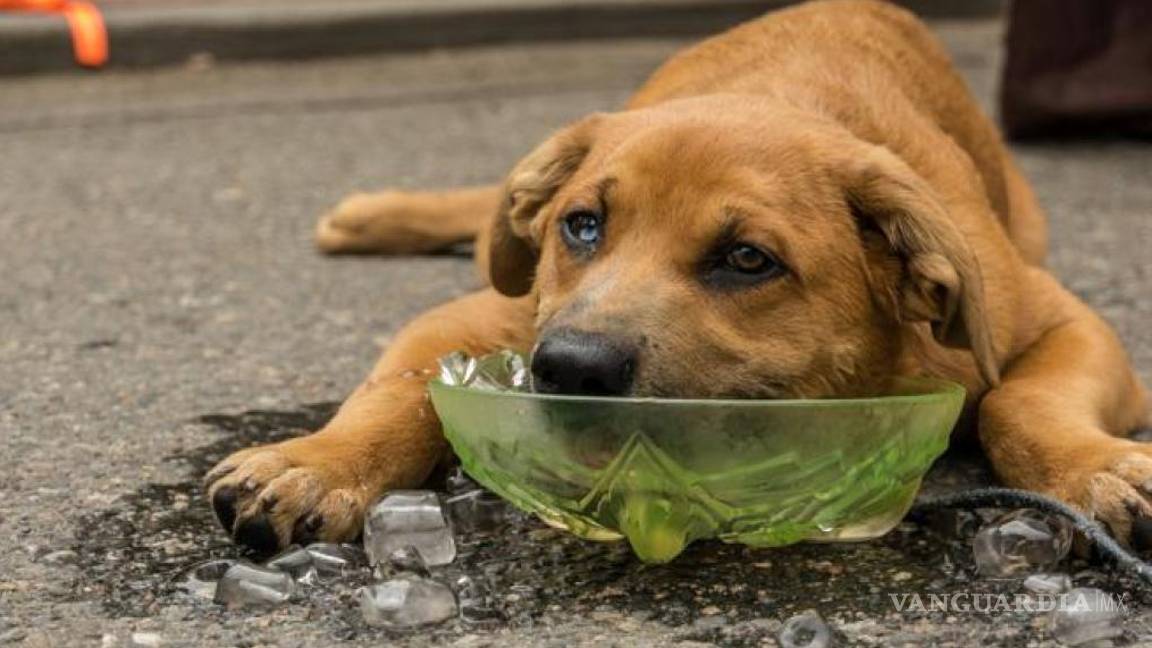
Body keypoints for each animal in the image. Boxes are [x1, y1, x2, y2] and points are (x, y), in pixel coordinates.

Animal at [207, 1, 1152, 555]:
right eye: (582, 226)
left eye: (747, 260)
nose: (570, 369)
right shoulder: (491, 313)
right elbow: (397, 391)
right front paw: (316, 462)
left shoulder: (1059, 320)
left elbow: (1017, 402)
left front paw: (1096, 470)